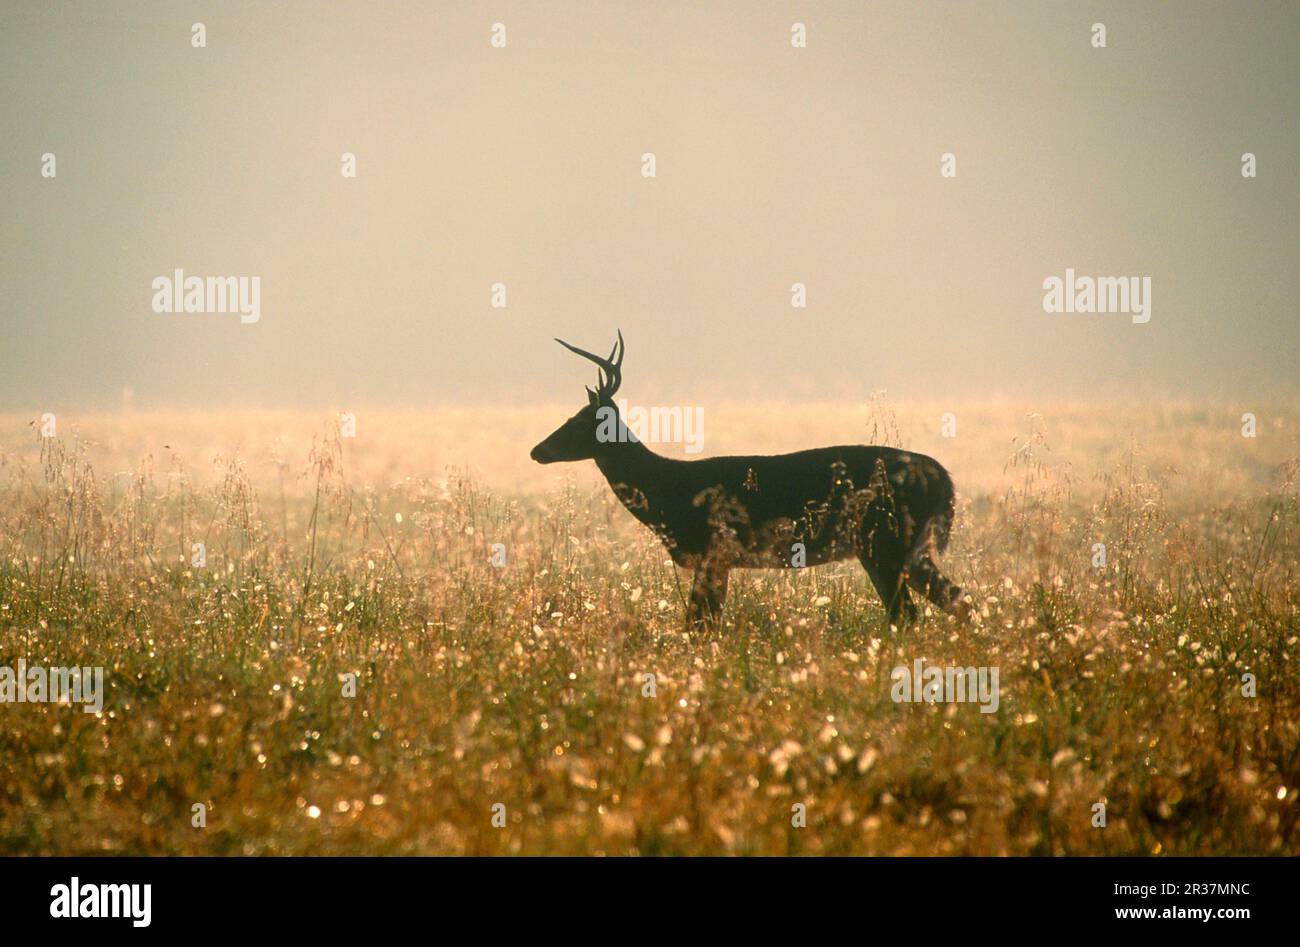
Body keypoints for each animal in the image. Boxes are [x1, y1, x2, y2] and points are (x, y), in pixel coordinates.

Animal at [527, 333, 967, 629]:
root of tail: (941, 476)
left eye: (578, 420)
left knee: (909, 612)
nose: (537, 451)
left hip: (886, 539)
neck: (666, 488)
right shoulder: (720, 559)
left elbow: (698, 624)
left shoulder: (713, 549)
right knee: (949, 601)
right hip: (895, 546)